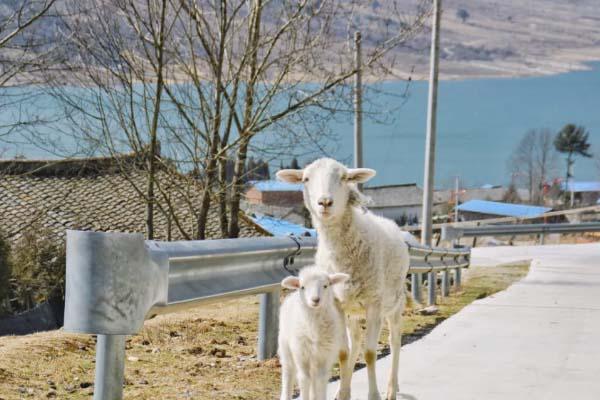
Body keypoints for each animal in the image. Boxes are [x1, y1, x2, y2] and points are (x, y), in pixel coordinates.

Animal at [278, 266, 350, 400]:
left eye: (326, 285)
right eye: (302, 287)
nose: (315, 300)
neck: (314, 330)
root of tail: (292, 294)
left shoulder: (324, 355)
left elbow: (321, 380)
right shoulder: (301, 354)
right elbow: (304, 379)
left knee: (314, 377)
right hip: (285, 345)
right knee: (288, 371)